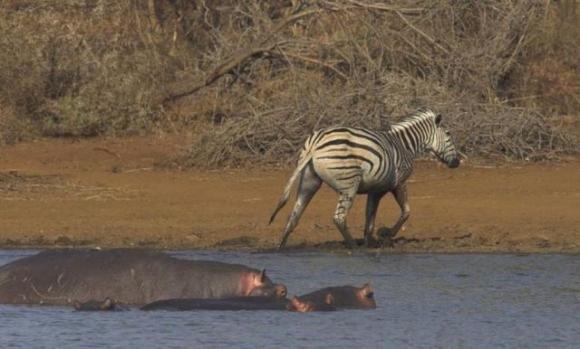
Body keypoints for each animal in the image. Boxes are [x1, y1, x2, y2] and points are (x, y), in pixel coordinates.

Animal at [268, 108, 462, 247]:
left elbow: (370, 216)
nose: (457, 162)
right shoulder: (398, 182)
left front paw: (370, 242)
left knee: (294, 216)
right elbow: (406, 211)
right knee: (339, 218)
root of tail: (315, 143)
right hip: (348, 185)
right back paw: (353, 247)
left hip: (309, 180)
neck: (405, 145)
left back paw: (281, 248)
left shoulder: (375, 189)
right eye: (449, 135)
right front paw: (386, 235)